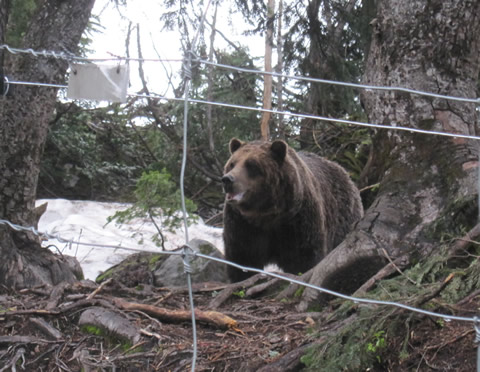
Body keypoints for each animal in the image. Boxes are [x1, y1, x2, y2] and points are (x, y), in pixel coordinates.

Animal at [221, 139, 364, 282]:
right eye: (232, 164)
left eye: (251, 165)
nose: (227, 179)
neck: (266, 213)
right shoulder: (243, 225)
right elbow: (243, 259)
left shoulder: (297, 221)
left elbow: (304, 258)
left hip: (342, 215)